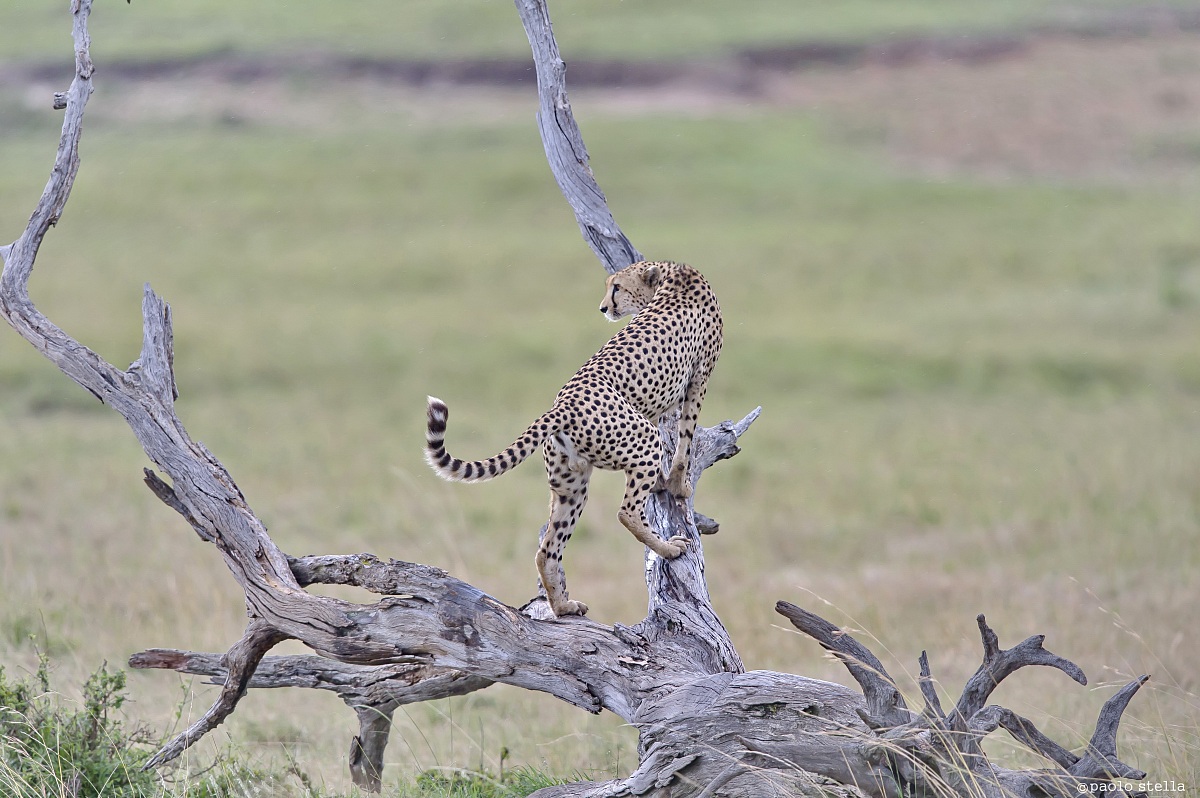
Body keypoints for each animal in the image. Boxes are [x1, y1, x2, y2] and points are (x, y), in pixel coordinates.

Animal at [424, 260, 723, 617]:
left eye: (617, 287)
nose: (604, 307)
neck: (671, 274)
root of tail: (561, 405)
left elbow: (674, 438)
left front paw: (665, 482)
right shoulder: (698, 379)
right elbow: (684, 439)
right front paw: (678, 484)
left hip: (571, 484)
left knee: (547, 549)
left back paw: (563, 605)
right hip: (637, 442)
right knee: (626, 512)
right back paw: (667, 548)